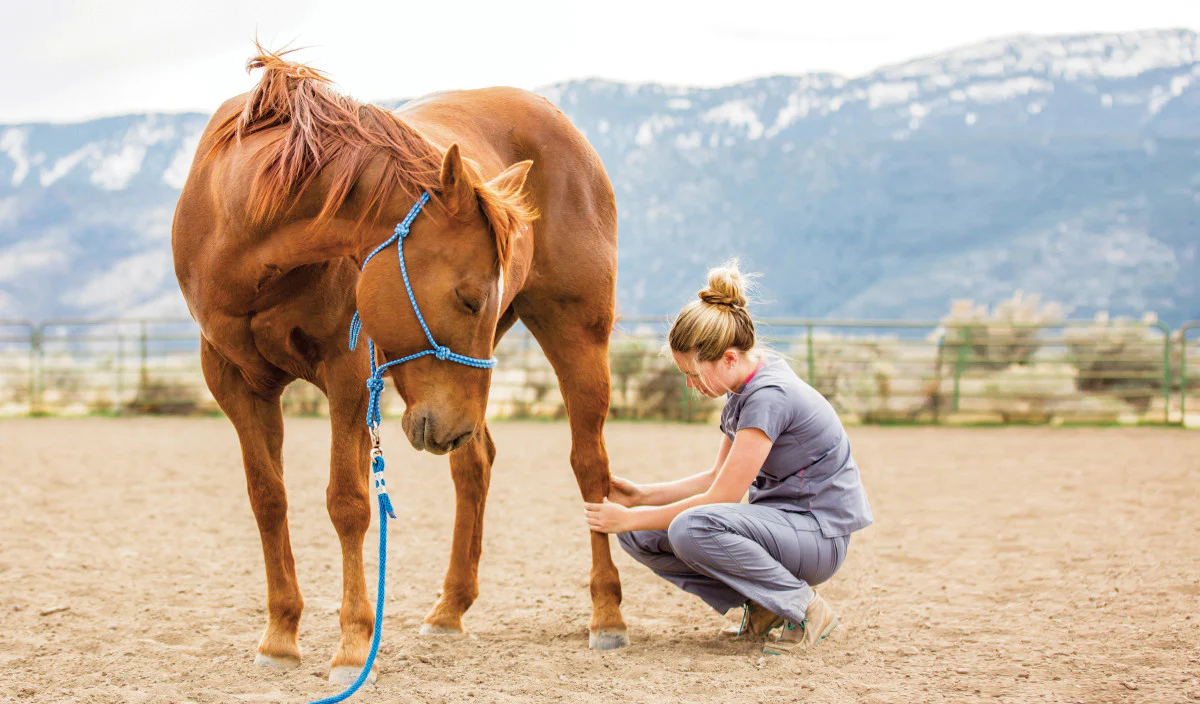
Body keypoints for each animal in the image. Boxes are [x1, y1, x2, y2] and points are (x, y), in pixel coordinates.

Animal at [171, 48, 628, 683]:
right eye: (470, 298)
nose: (449, 426)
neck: (241, 228)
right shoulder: (235, 383)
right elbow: (268, 499)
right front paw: (281, 635)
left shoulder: (348, 375)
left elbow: (349, 504)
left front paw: (353, 646)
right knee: (475, 464)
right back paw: (450, 608)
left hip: (575, 338)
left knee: (590, 468)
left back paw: (606, 614)